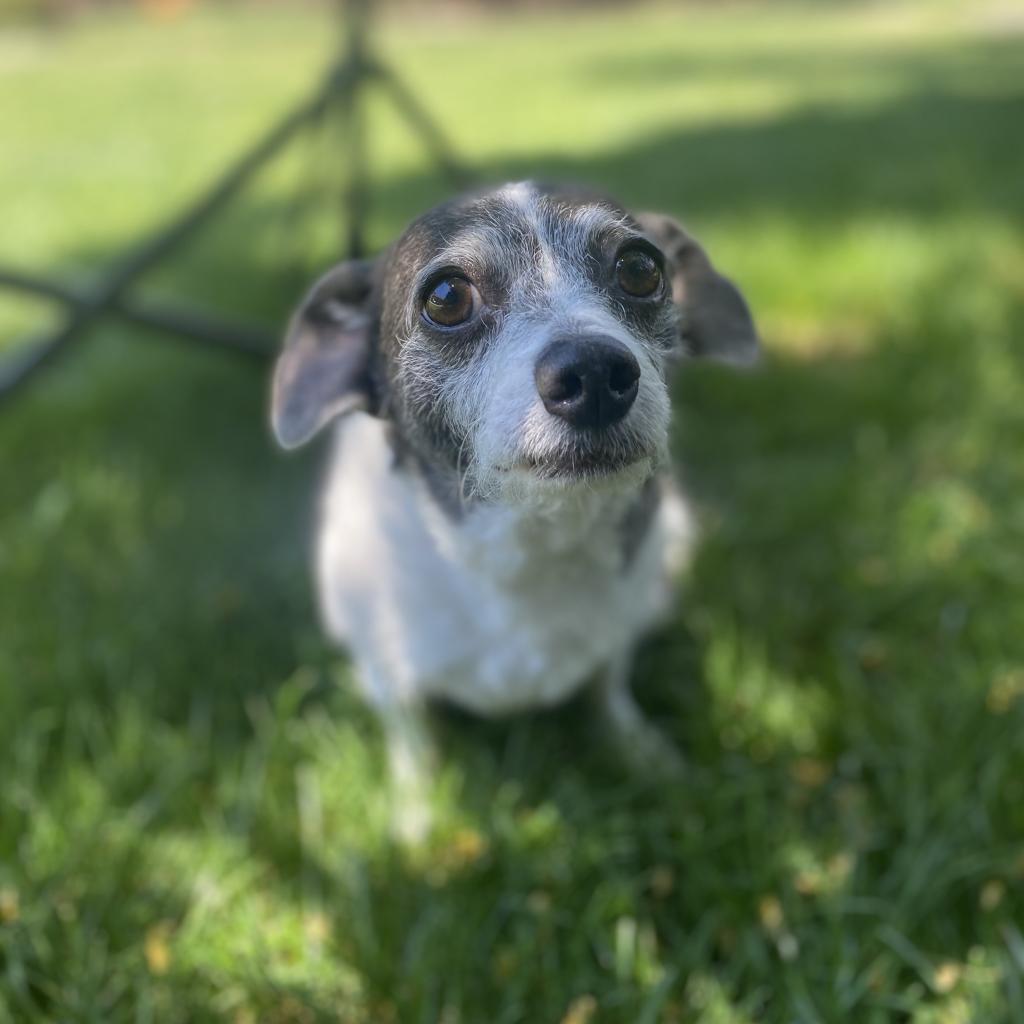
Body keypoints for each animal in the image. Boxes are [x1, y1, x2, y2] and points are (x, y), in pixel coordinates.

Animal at [268, 182, 757, 839]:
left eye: (640, 268)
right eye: (447, 297)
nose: (594, 371)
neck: (533, 546)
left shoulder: (617, 630)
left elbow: (609, 685)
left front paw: (641, 751)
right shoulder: (386, 668)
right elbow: (413, 737)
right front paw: (417, 816)